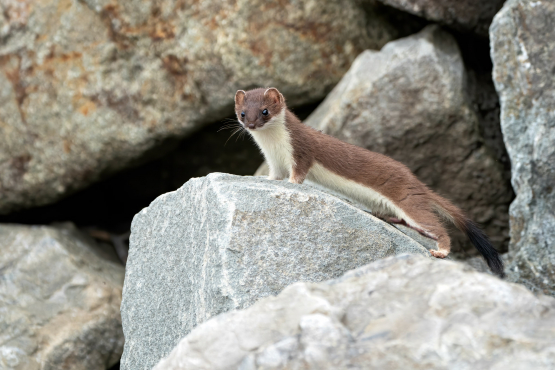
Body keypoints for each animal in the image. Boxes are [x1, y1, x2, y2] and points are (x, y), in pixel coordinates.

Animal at [233, 87, 504, 278]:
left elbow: (299, 173)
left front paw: (291, 183)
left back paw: (440, 250)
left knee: (436, 226)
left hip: (409, 200)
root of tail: (417, 183)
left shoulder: (301, 151)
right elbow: (274, 175)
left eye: (265, 111)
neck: (274, 146)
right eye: (242, 113)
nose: (251, 124)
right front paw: (266, 179)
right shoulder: (273, 160)